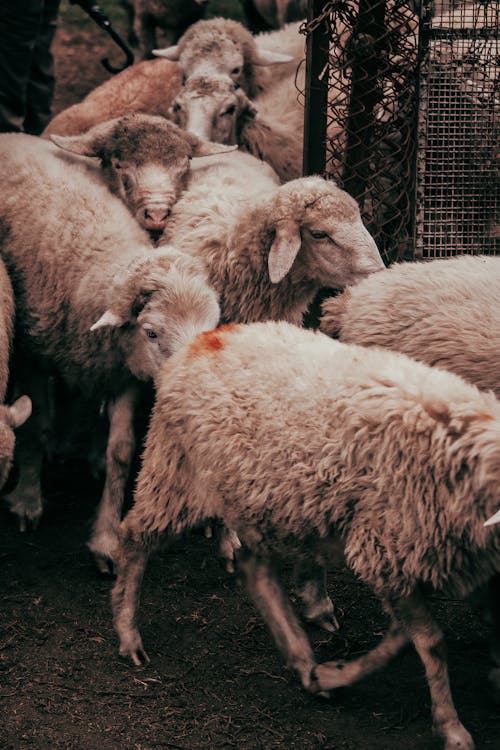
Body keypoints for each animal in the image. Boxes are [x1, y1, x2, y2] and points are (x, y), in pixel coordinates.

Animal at [0, 132, 219, 572]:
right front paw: (28, 500)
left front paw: (105, 541)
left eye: (208, 328)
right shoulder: (35, 354)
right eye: (151, 333)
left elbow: (121, 451)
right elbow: (36, 426)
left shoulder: (125, 372)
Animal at [111, 320, 500, 750]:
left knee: (256, 570)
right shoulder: (384, 551)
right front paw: (451, 727)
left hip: (258, 497)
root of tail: (207, 337)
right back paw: (128, 632)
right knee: (134, 537)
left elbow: (416, 635)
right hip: (177, 474)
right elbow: (428, 640)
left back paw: (300, 656)